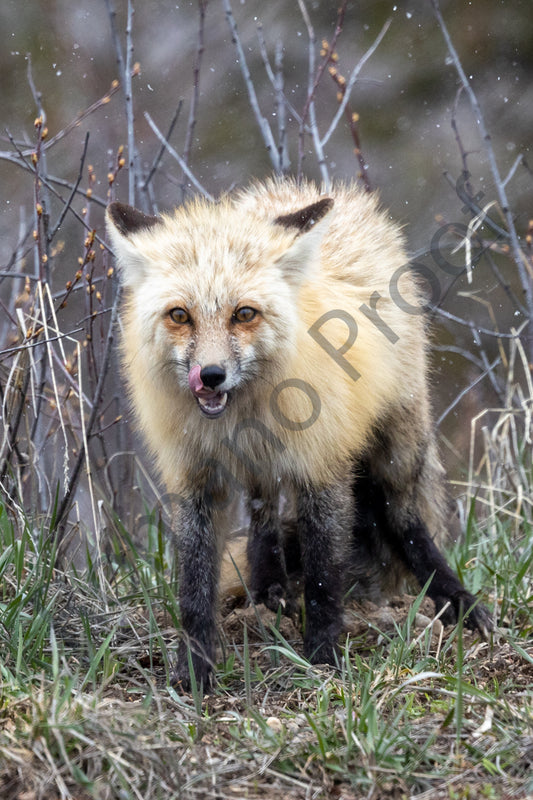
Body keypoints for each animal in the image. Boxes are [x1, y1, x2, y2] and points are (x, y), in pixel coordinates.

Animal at [106, 178, 492, 692]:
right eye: (180, 315)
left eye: (244, 314)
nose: (210, 376)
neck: (240, 416)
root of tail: (316, 189)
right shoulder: (195, 479)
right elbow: (194, 586)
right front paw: (194, 669)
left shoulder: (322, 467)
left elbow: (324, 577)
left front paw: (323, 657)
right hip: (266, 469)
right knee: (264, 512)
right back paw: (267, 587)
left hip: (398, 444)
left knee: (406, 520)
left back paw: (454, 597)